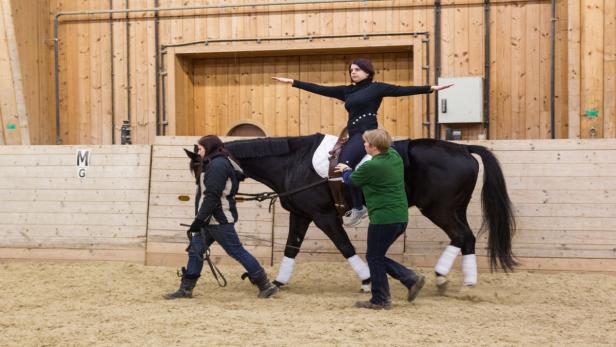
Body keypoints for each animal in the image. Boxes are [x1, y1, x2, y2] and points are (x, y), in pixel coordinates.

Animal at [186, 135, 516, 292]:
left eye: (200, 167)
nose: (201, 200)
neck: (294, 161)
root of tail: (463, 149)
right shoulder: (301, 215)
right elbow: (292, 247)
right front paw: (277, 282)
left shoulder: (324, 216)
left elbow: (344, 246)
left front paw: (367, 280)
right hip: (453, 208)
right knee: (466, 238)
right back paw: (454, 279)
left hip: (440, 209)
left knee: (461, 236)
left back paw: (449, 278)